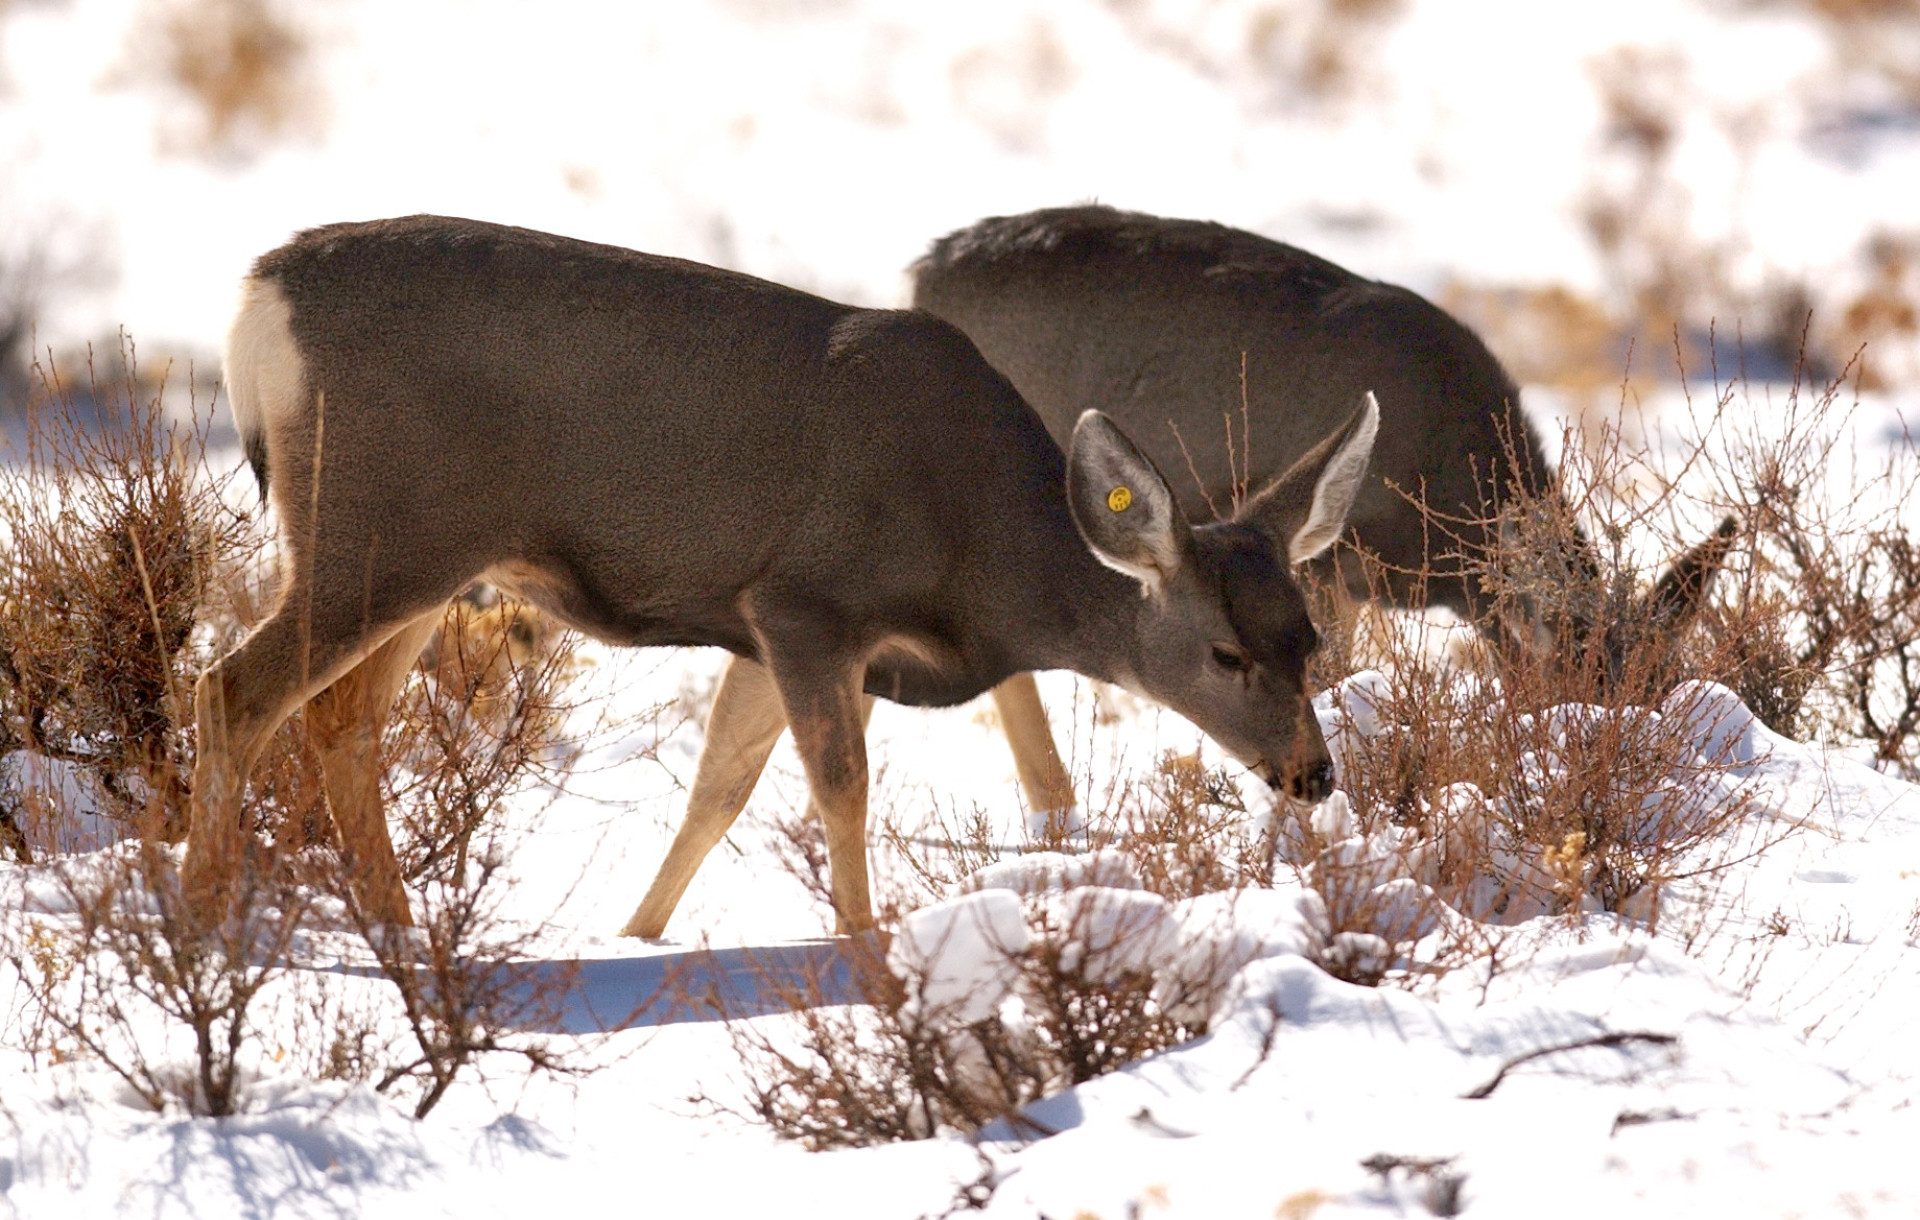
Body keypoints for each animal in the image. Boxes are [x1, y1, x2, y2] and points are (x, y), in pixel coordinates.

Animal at [194, 215, 1382, 941]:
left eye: (1308, 638)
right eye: (1224, 652)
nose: (1312, 773)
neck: (985, 561)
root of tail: (256, 299)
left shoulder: (753, 629)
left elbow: (718, 788)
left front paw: (634, 937)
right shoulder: (810, 602)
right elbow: (838, 786)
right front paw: (870, 955)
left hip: (419, 554)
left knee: (340, 717)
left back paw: (397, 929)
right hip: (378, 530)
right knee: (233, 690)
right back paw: (203, 917)